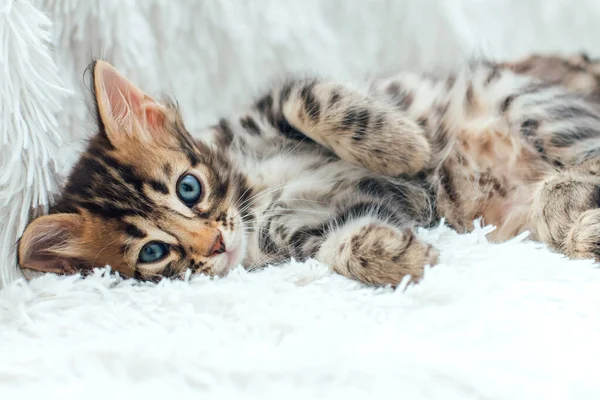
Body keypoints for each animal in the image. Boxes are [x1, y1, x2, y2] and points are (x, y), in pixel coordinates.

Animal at [15, 57, 600, 284]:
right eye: (154, 253)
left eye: (189, 187)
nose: (214, 244)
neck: (252, 198)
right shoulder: (311, 232)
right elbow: (340, 247)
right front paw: (401, 258)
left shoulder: (271, 108)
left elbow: (310, 98)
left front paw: (403, 145)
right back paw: (578, 226)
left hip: (527, 105)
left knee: (586, 159)